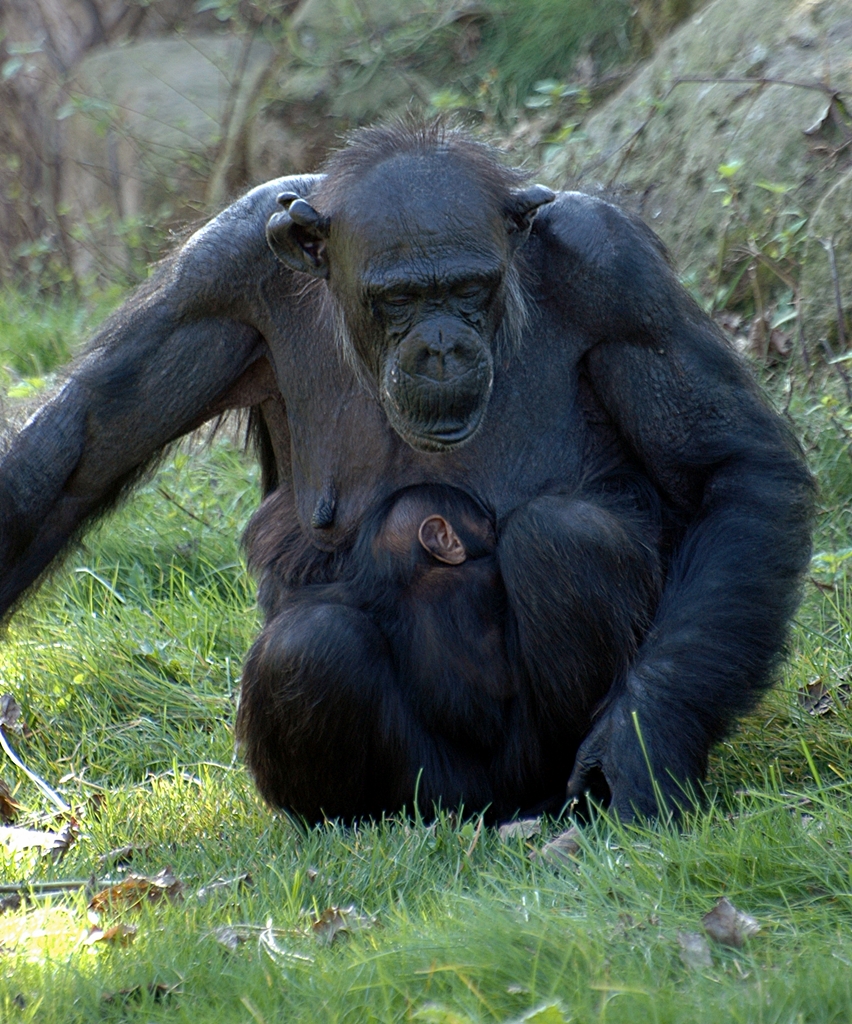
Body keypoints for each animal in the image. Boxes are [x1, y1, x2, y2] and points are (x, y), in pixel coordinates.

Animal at [0, 119, 811, 823]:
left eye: (469, 287)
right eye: (399, 298)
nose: (442, 345)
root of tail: (482, 810)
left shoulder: (616, 273)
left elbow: (730, 472)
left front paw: (640, 746)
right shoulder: (217, 274)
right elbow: (83, 441)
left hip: (525, 768)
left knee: (567, 537)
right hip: (428, 788)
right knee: (308, 648)